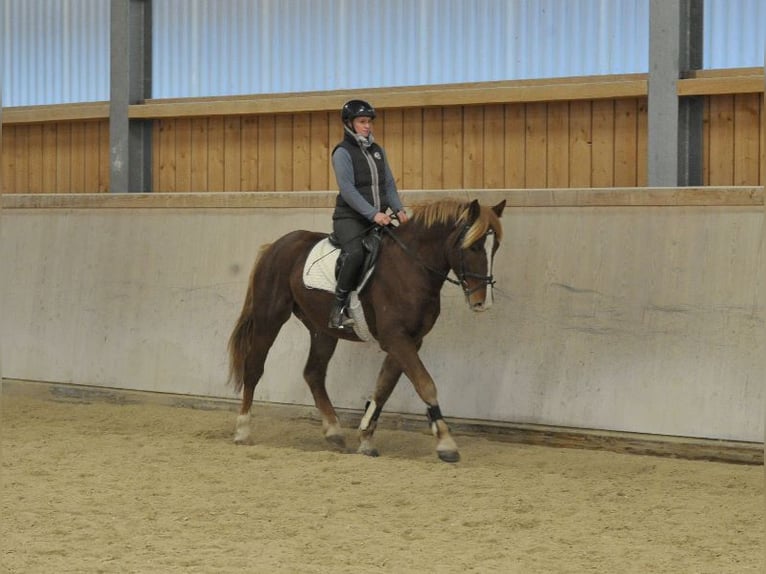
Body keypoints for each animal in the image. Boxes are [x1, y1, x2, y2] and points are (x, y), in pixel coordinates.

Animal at [228, 198, 508, 464]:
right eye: (473, 246)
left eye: (494, 247)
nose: (482, 302)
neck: (411, 266)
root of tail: (275, 246)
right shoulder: (396, 338)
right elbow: (425, 384)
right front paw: (446, 444)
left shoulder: (410, 340)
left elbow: (384, 387)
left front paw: (366, 439)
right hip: (270, 318)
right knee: (254, 368)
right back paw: (242, 431)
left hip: (322, 329)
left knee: (313, 373)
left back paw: (334, 432)